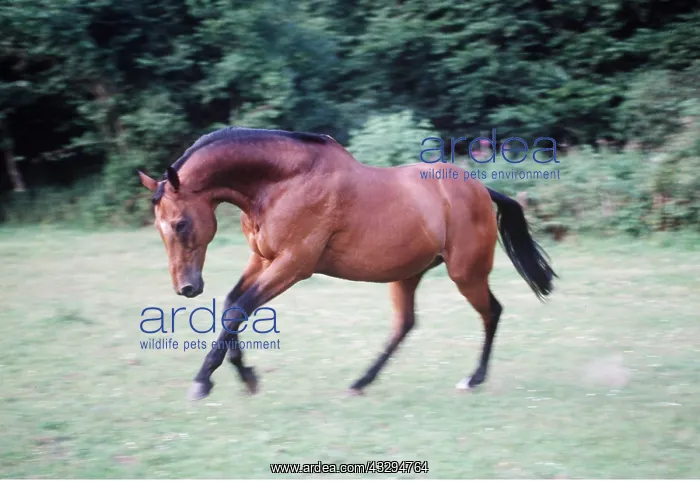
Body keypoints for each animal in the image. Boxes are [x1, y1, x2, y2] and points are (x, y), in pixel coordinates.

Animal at [137, 127, 556, 401]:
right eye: (159, 227)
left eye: (180, 223)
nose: (186, 287)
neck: (281, 182)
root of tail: (480, 189)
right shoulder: (262, 259)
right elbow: (231, 306)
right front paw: (246, 376)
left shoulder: (292, 265)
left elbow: (239, 309)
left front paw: (203, 381)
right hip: (408, 274)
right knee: (404, 325)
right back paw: (361, 382)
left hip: (466, 273)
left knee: (492, 312)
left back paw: (473, 379)